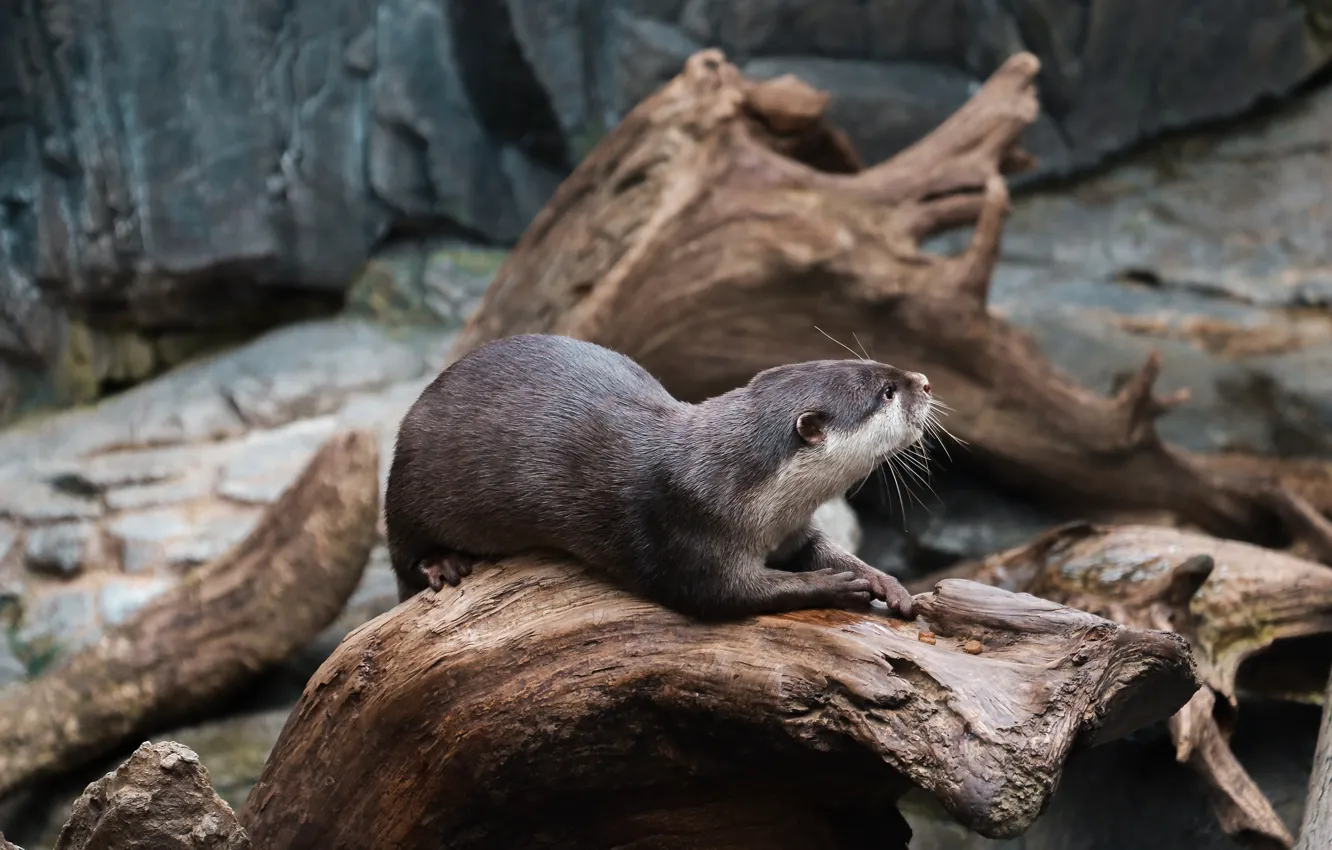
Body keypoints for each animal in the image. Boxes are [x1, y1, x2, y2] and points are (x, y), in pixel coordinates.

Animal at [385, 334, 933, 620]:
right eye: (886, 391)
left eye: (878, 365)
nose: (925, 382)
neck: (731, 481)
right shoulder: (682, 530)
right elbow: (725, 594)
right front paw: (834, 584)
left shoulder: (792, 528)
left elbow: (823, 549)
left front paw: (884, 581)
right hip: (409, 477)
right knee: (402, 552)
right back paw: (442, 564)